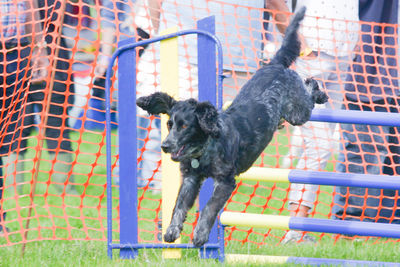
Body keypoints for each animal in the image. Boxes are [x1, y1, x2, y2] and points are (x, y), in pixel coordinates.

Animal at [136, 6, 326, 248]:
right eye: (169, 124)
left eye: (185, 125)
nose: (165, 146)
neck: (205, 148)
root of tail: (274, 65)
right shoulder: (190, 178)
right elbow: (179, 205)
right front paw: (171, 231)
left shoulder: (226, 180)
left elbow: (209, 207)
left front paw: (200, 235)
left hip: (298, 111)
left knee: (309, 87)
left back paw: (319, 92)